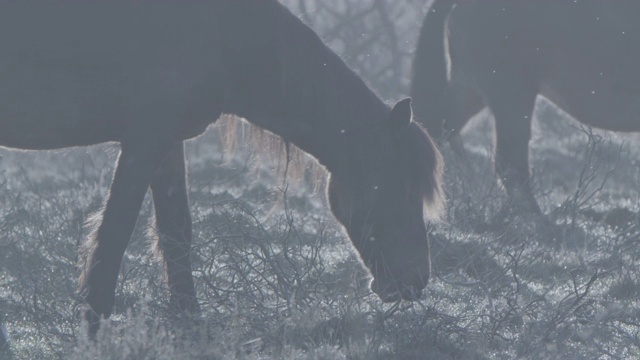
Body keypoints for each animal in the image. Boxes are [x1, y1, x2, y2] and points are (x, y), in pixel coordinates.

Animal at [0, 0, 444, 334]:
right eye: (404, 188)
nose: (414, 282)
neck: (220, 35)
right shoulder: (144, 139)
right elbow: (113, 236)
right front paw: (94, 329)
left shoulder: (166, 143)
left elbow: (176, 234)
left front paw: (190, 322)